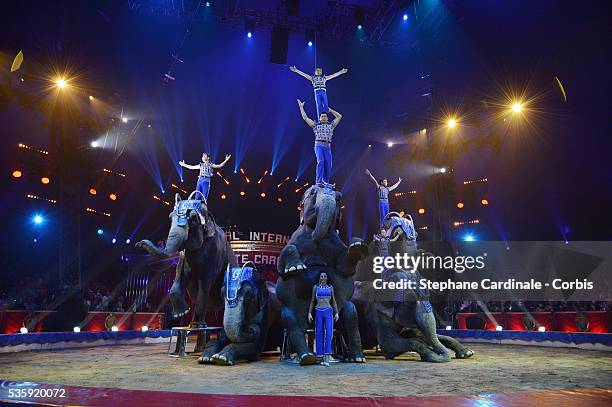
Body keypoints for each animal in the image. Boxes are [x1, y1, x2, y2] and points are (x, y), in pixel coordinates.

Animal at [136, 193, 237, 326]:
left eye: (194, 218)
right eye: (170, 218)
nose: (139, 243)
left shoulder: (215, 252)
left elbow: (205, 282)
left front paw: (198, 326)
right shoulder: (183, 256)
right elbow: (180, 275)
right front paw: (182, 315)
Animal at [276, 185, 368, 366]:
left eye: (339, 199)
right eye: (312, 193)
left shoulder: (337, 244)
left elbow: (345, 268)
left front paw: (356, 244)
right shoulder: (293, 239)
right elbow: (285, 255)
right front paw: (297, 267)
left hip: (342, 308)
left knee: (351, 316)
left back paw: (356, 358)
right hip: (291, 309)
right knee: (292, 324)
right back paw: (306, 357)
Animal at [352, 214, 476, 364]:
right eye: (410, 301)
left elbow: (427, 335)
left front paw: (467, 353)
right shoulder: (377, 315)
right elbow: (391, 343)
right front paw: (429, 354)